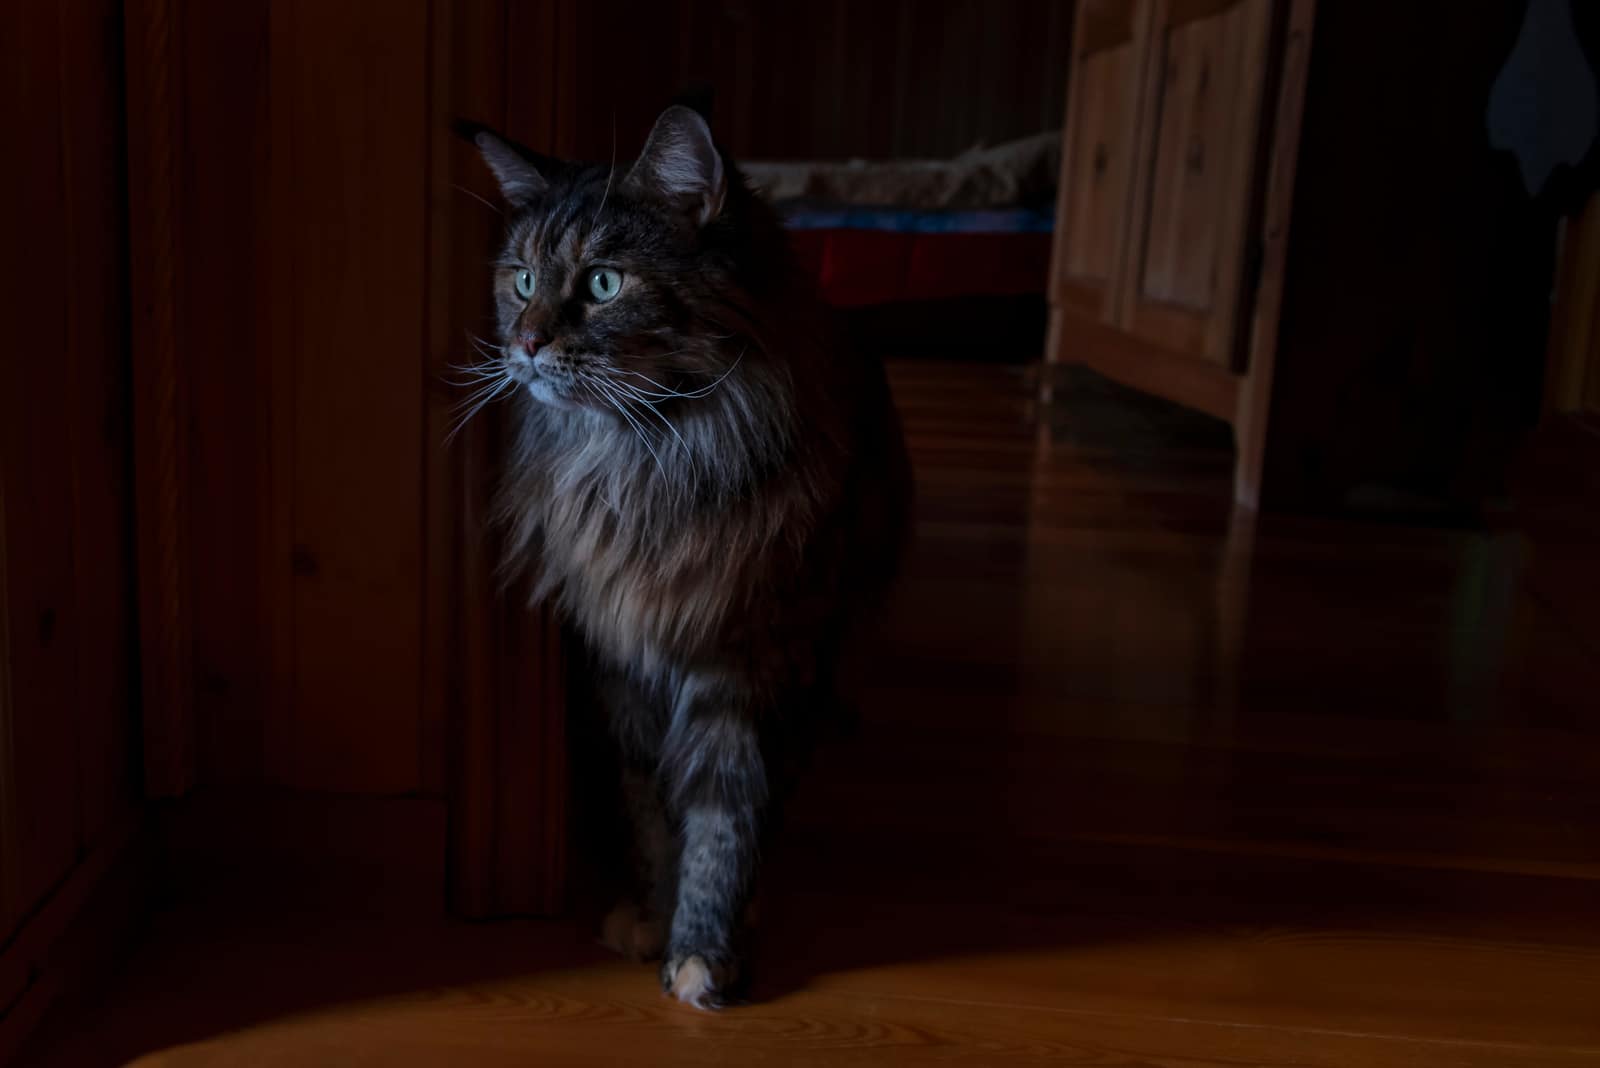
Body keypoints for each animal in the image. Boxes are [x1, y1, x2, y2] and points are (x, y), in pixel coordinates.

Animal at [467, 106, 908, 1010]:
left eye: (604, 284)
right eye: (521, 281)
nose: (524, 345)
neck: (648, 462)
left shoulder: (747, 659)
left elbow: (724, 812)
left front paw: (706, 945)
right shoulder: (622, 660)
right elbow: (649, 808)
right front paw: (652, 912)